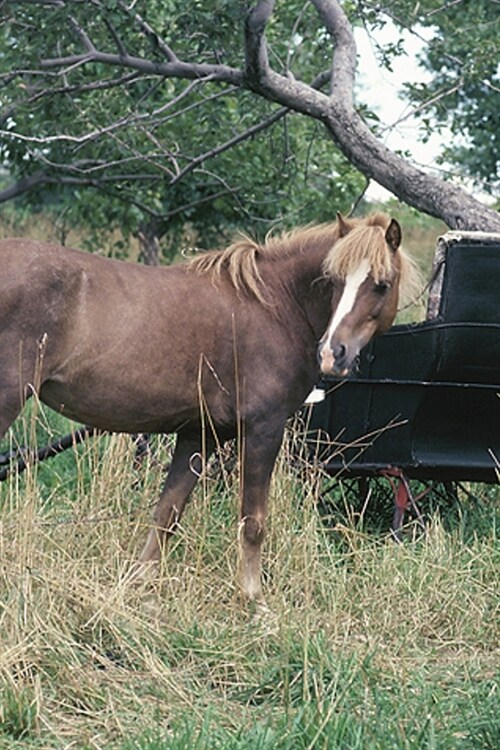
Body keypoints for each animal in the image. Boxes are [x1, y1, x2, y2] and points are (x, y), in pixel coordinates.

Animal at [0, 210, 418, 604]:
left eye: (381, 284)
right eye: (333, 280)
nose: (333, 353)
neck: (276, 307)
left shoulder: (199, 433)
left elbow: (167, 514)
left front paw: (139, 589)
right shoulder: (263, 430)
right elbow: (253, 520)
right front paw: (253, 598)